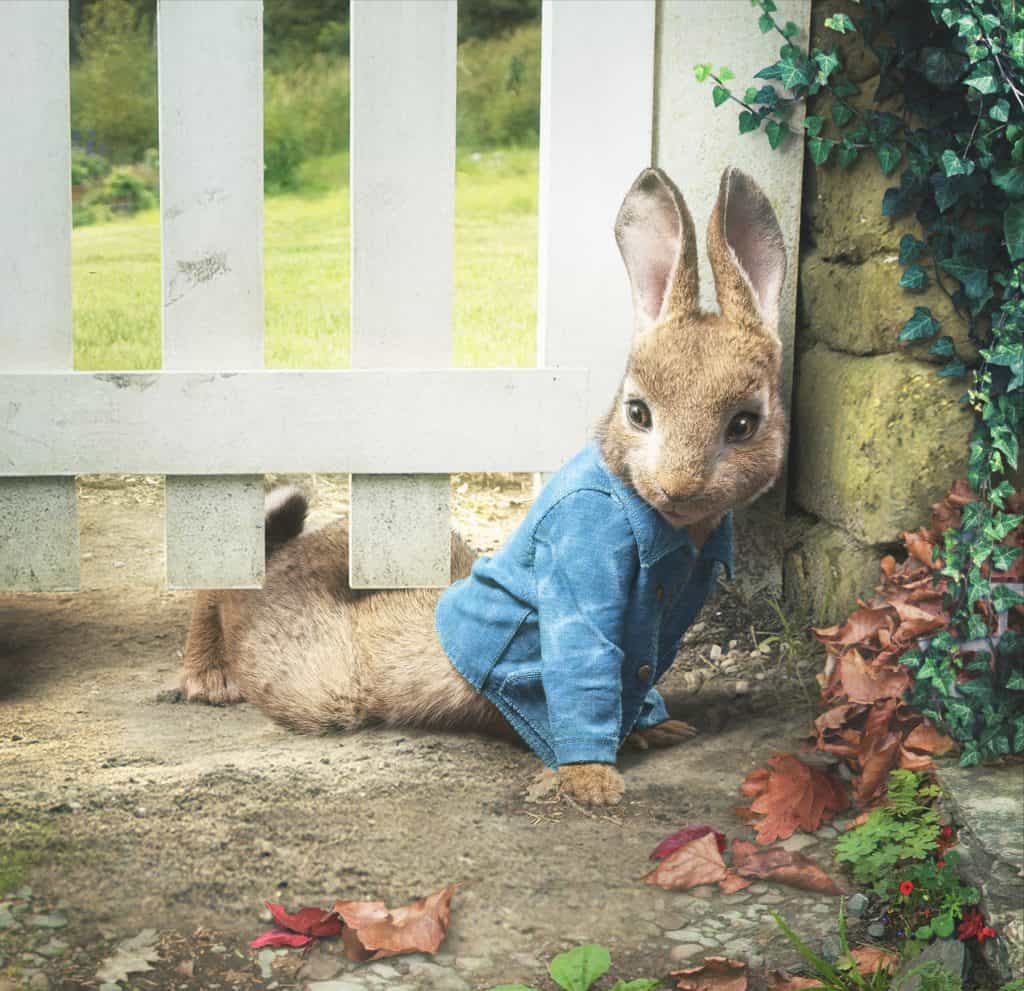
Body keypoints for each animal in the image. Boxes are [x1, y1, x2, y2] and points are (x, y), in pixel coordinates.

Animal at [178, 166, 788, 806]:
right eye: (639, 413)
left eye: (744, 424)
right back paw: (209, 677)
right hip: (315, 677)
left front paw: (659, 728)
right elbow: (585, 672)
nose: (679, 485)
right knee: (230, 591)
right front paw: (591, 781)